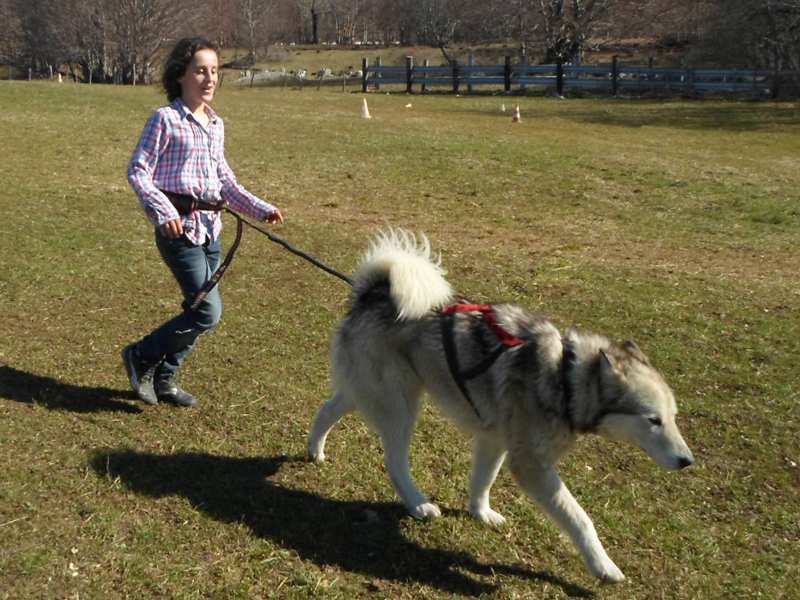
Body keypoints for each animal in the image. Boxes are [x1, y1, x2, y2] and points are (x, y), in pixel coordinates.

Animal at [308, 230, 692, 580]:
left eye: (673, 418)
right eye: (653, 420)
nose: (687, 461)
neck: (564, 375)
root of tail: (372, 293)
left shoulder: (494, 439)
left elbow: (483, 480)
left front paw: (481, 514)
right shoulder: (531, 464)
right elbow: (580, 518)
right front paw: (604, 566)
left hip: (368, 391)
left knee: (327, 409)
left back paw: (315, 451)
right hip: (400, 405)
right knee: (394, 459)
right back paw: (417, 503)